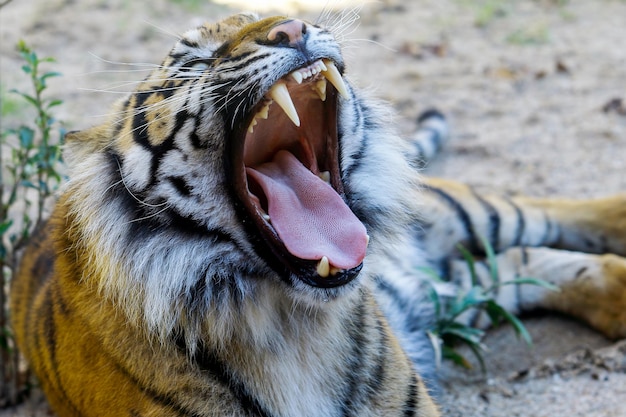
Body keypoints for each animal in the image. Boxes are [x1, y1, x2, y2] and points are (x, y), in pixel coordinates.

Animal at [8, 10, 624, 416]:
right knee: (513, 264)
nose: (292, 28)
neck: (288, 323)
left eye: (281, 18)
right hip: (452, 293)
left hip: (460, 212)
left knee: (539, 214)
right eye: (196, 60)